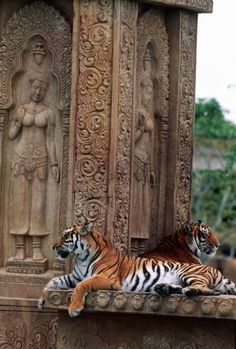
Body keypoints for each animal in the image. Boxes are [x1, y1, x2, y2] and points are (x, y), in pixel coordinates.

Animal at [38, 222, 236, 316]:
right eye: (205, 234)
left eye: (65, 237)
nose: (53, 247)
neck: (81, 258)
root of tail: (216, 270)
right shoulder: (74, 276)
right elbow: (53, 280)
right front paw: (41, 299)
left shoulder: (106, 278)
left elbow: (82, 286)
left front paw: (74, 308)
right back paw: (163, 288)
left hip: (188, 273)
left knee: (207, 290)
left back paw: (188, 290)